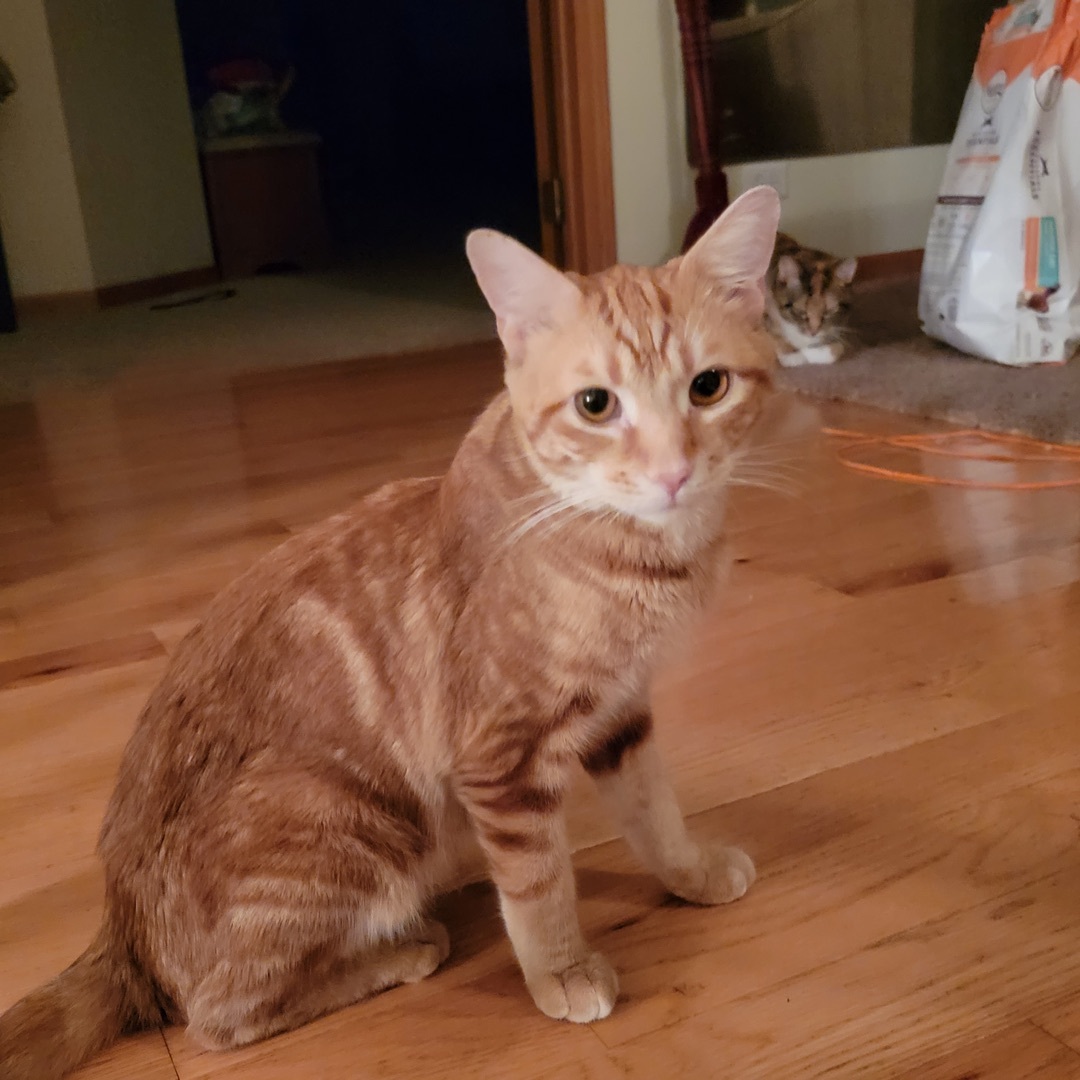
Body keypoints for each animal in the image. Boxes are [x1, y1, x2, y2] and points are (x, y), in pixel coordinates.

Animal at [0, 186, 781, 1080]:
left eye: (708, 387)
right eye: (596, 404)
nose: (672, 472)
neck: (637, 554)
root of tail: (121, 930)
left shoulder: (621, 713)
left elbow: (655, 810)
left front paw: (691, 872)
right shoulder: (502, 760)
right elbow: (539, 885)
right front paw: (561, 971)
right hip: (352, 821)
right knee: (220, 1016)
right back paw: (403, 949)